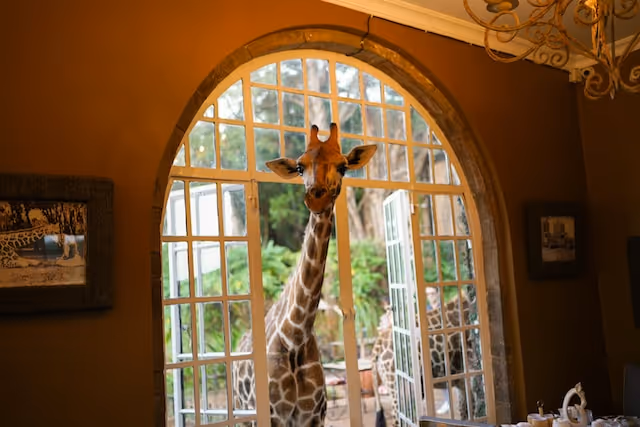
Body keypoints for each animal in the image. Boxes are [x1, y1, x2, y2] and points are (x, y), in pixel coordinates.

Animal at [232, 123, 377, 427]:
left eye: (343, 166)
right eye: (300, 167)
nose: (316, 196)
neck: (294, 336)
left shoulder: (313, 416)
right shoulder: (272, 416)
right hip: (244, 413)